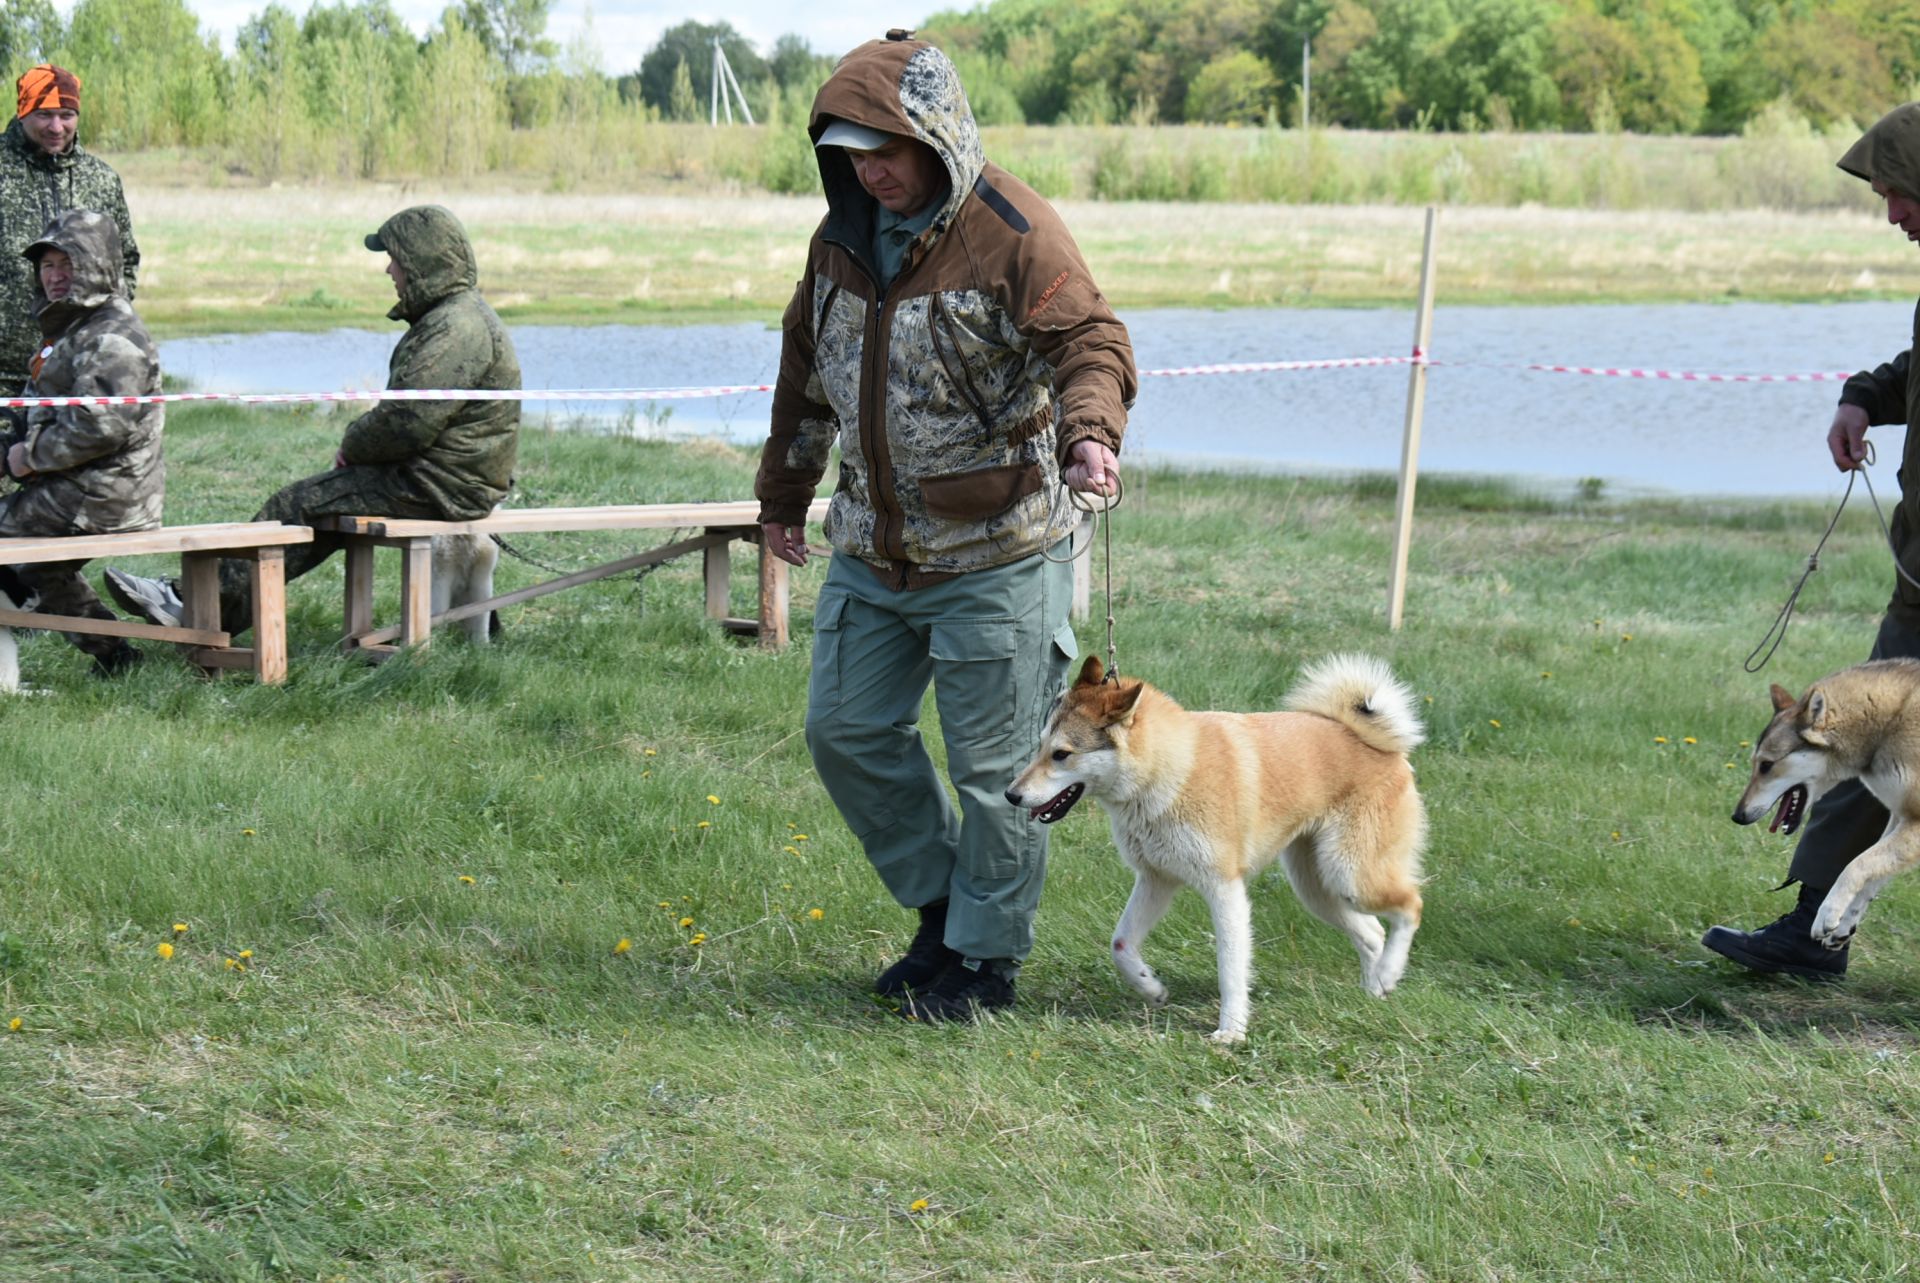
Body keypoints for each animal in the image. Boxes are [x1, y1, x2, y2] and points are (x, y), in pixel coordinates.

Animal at [1006, 656, 1428, 1037]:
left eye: (1062, 754)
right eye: (1040, 746)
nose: (1011, 795)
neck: (1173, 770)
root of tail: (1383, 746)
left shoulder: (1224, 889)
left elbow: (1230, 968)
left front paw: (1231, 1031)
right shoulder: (1156, 879)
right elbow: (1121, 945)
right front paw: (1151, 988)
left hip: (1350, 873)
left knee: (1411, 906)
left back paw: (1389, 973)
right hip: (1318, 888)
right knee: (1372, 933)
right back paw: (1376, 989)